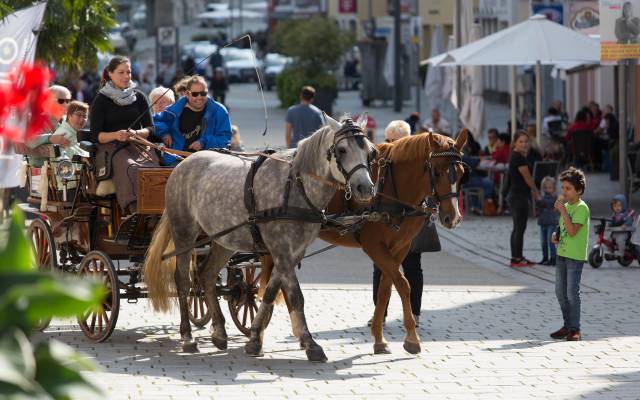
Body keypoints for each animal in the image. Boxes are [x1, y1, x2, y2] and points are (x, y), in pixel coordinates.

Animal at [144, 114, 376, 360]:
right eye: (341, 150)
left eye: (370, 151)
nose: (365, 188)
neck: (296, 186)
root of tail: (183, 163)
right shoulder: (281, 249)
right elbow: (295, 295)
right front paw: (310, 344)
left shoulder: (293, 252)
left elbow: (271, 291)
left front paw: (255, 338)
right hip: (184, 232)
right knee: (183, 280)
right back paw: (187, 337)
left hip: (223, 240)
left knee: (207, 275)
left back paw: (219, 332)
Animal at [258, 130, 468, 356]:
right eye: (436, 172)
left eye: (462, 173)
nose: (453, 217)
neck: (390, 185)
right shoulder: (374, 246)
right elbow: (403, 284)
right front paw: (411, 338)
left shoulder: (399, 248)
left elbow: (386, 288)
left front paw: (379, 338)